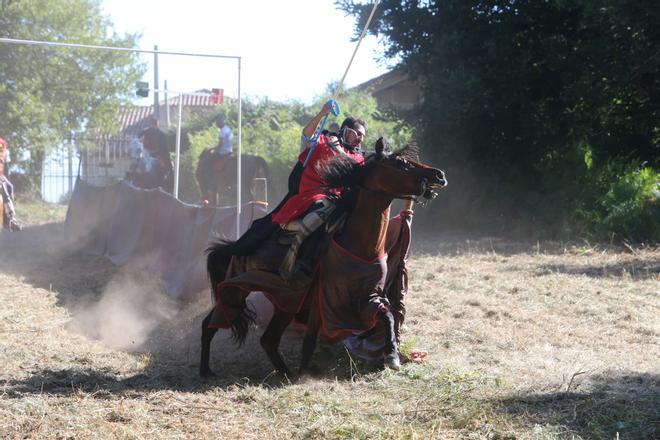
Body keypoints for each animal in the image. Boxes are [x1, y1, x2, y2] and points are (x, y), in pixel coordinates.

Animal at [199, 142, 446, 378]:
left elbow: (388, 316)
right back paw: (206, 371)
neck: (359, 243)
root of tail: (237, 244)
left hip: (286, 301)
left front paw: (393, 356)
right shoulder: (321, 301)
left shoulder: (368, 297)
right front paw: (305, 373)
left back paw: (285, 373)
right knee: (211, 323)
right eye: (400, 163)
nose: (439, 175)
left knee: (268, 340)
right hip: (238, 289)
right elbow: (309, 341)